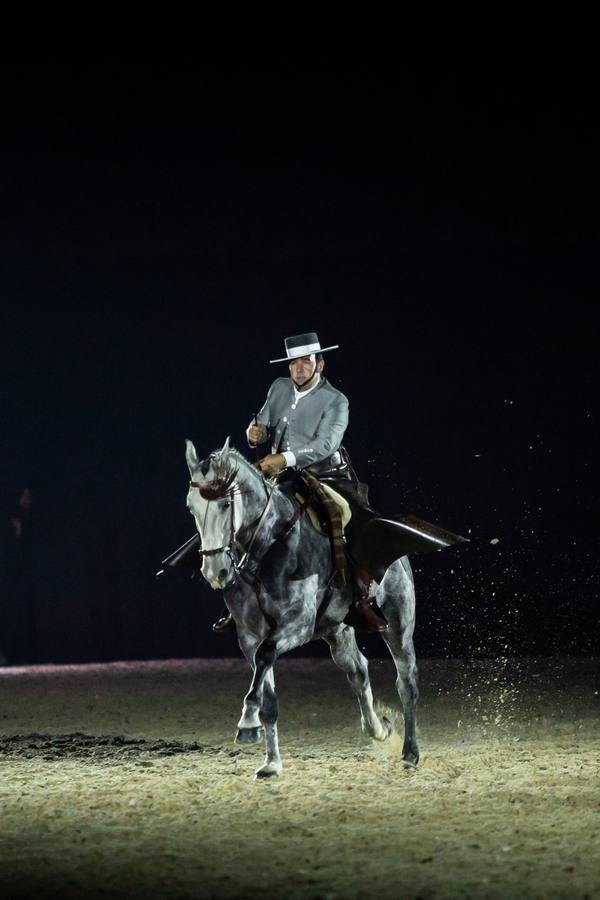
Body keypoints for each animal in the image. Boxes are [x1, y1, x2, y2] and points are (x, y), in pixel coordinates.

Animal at [184, 440, 418, 776]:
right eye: (191, 507)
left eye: (227, 504)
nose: (216, 573)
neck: (267, 547)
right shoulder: (250, 637)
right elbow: (267, 694)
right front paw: (270, 762)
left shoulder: (297, 625)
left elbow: (266, 656)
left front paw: (247, 722)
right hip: (337, 631)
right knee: (358, 670)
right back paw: (379, 729)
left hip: (397, 624)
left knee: (406, 680)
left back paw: (410, 753)